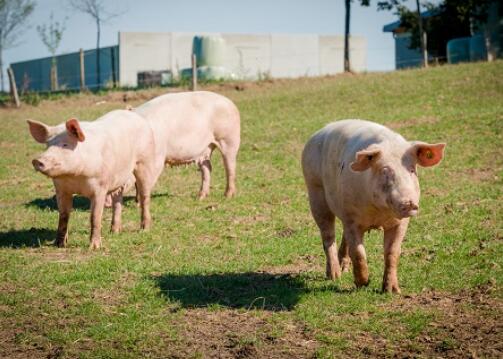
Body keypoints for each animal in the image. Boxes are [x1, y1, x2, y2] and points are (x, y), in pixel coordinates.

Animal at [27, 110, 157, 250]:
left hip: (144, 162)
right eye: (47, 145)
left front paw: (94, 247)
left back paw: (144, 229)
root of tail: (136, 116)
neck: (74, 177)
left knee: (145, 197)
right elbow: (63, 215)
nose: (37, 160)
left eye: (65, 145)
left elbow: (94, 217)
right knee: (117, 200)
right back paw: (114, 232)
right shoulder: (61, 189)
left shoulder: (100, 187)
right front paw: (58, 245)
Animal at [302, 119, 446, 294]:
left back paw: (343, 269)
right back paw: (335, 276)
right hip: (315, 190)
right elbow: (358, 252)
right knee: (328, 235)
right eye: (385, 171)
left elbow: (392, 252)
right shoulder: (351, 217)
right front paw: (363, 284)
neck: (378, 212)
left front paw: (392, 291)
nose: (409, 203)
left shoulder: (400, 223)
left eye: (412, 170)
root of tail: (320, 131)